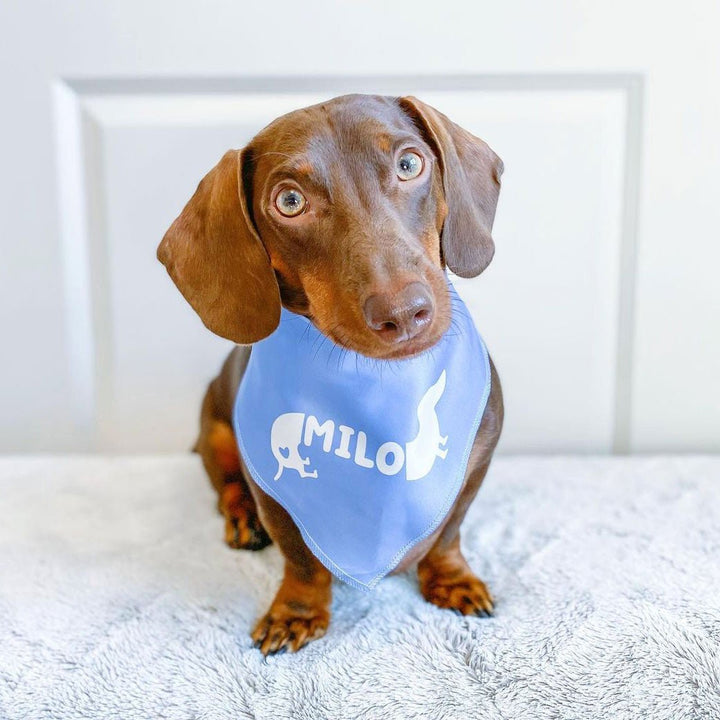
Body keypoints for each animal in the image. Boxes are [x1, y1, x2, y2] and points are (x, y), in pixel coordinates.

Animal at [158, 93, 506, 656]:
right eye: (289, 201)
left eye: (409, 164)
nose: (404, 313)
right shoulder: (273, 492)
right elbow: (300, 559)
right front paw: (296, 612)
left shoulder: (476, 465)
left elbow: (449, 532)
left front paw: (451, 579)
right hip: (215, 431)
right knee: (225, 487)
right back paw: (241, 521)